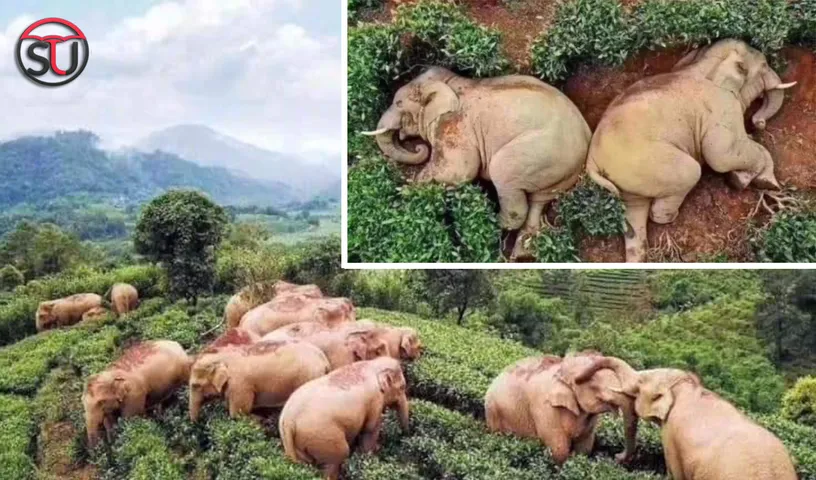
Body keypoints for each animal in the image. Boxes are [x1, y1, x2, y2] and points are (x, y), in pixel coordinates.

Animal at [280, 357, 410, 480]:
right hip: (324, 436)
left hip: (297, 444)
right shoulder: (375, 400)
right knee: (336, 459)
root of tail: (288, 420)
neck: (373, 364)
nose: (404, 434)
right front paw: (369, 459)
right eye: (402, 387)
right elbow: (370, 429)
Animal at [362, 66, 591, 260]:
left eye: (399, 103)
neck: (450, 82)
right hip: (560, 171)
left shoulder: (454, 125)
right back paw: (521, 254)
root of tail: (586, 139)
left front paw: (405, 192)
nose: (419, 147)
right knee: (539, 201)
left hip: (540, 153)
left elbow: (459, 170)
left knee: (505, 176)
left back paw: (491, 224)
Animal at [484, 352, 638, 465]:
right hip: (494, 412)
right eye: (594, 384)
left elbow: (584, 447)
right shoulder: (544, 407)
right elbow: (559, 448)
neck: (562, 371)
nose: (616, 456)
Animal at [586, 39, 797, 262]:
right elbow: (721, 155)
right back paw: (671, 217)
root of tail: (591, 161)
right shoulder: (722, 106)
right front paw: (746, 181)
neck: (702, 62)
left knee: (635, 213)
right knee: (690, 173)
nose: (758, 124)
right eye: (764, 65)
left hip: (628, 179)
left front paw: (755, 179)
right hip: (648, 163)